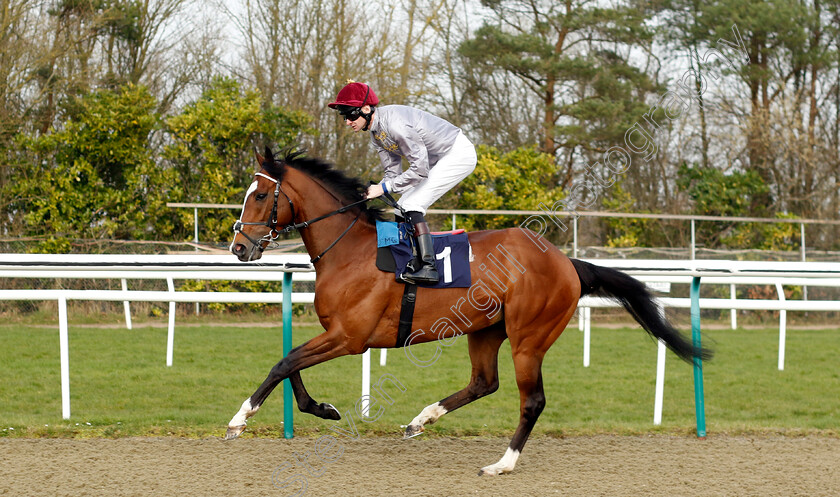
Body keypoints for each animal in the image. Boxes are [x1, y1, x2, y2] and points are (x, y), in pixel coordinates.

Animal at [225, 146, 708, 472]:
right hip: (486, 329)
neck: (349, 251)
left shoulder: (350, 337)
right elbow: (291, 364)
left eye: (261, 196)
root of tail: (565, 261)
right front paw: (323, 409)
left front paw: (239, 419)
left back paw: (502, 463)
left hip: (529, 337)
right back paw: (421, 420)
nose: (239, 247)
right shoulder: (337, 334)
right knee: (483, 382)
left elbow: (284, 362)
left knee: (532, 400)